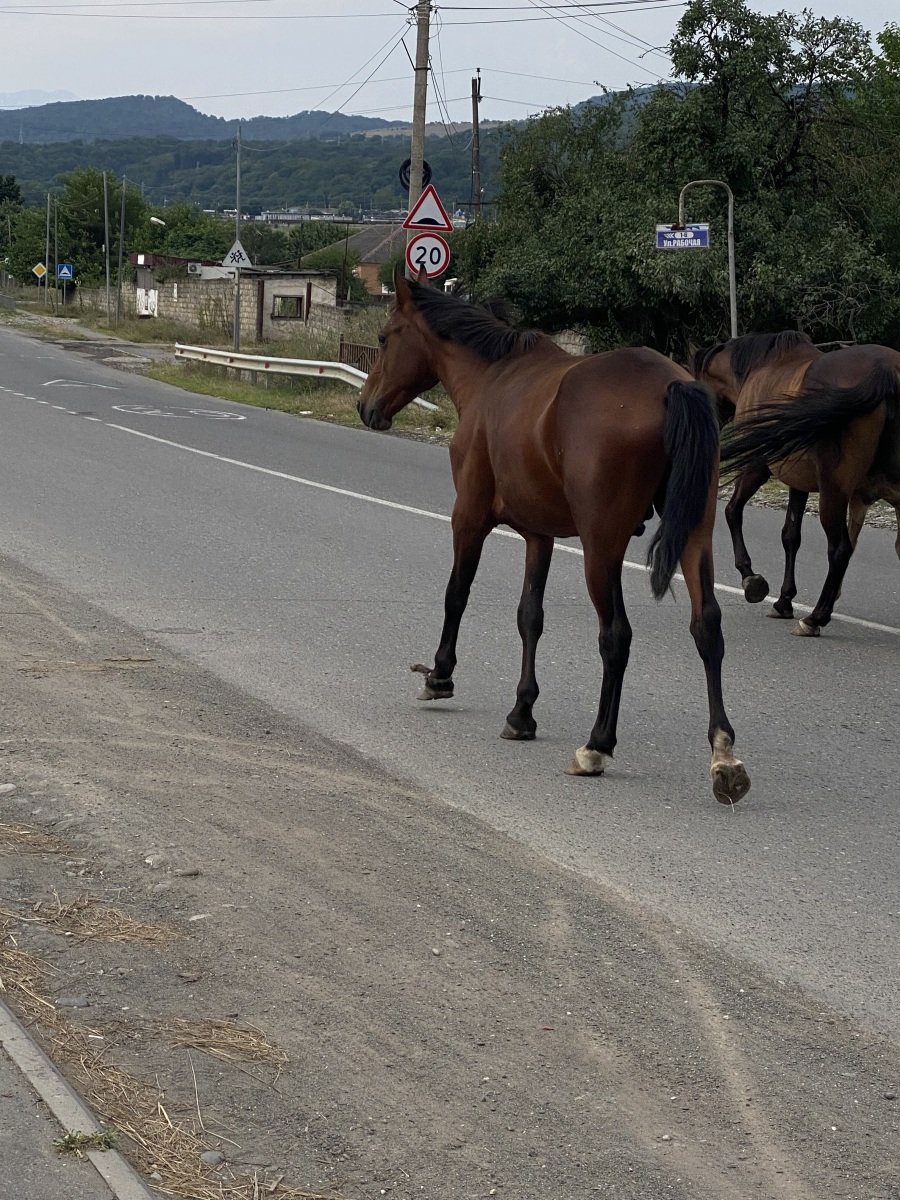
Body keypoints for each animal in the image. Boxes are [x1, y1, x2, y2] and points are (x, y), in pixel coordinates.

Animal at [356, 273, 750, 805]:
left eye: (383, 339)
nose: (366, 406)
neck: (492, 378)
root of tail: (670, 385)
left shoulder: (468, 518)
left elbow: (456, 594)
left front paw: (440, 676)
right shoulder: (538, 536)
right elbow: (530, 617)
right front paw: (522, 712)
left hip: (601, 548)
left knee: (616, 636)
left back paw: (596, 746)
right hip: (694, 536)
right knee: (706, 626)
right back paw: (723, 754)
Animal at [700, 334, 900, 636]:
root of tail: (886, 372)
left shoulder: (757, 467)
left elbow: (732, 512)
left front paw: (751, 579)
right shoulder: (798, 482)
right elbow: (791, 536)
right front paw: (783, 600)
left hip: (834, 493)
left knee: (840, 549)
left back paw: (815, 617)